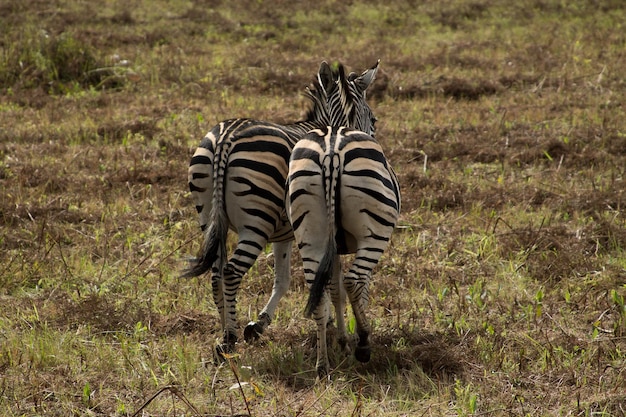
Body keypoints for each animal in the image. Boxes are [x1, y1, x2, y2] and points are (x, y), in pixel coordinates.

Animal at [180, 61, 376, 354]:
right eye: (372, 118)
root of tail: (225, 138)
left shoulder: (284, 234)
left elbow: (284, 280)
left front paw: (259, 325)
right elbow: (330, 280)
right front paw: (334, 327)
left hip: (208, 215)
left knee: (216, 272)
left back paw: (224, 331)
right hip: (256, 222)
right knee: (231, 272)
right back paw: (230, 337)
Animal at [284, 61, 398, 376]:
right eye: (374, 117)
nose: (374, 130)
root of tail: (331, 153)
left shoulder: (332, 246)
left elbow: (333, 291)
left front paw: (342, 341)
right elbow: (360, 289)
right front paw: (355, 339)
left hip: (310, 231)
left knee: (317, 291)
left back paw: (322, 365)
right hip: (374, 233)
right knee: (354, 280)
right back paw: (364, 345)